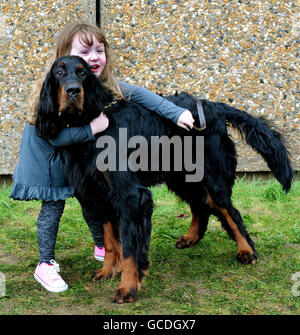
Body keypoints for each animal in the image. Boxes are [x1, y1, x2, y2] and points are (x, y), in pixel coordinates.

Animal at [34, 57, 292, 304]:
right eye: (59, 72)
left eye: (83, 73)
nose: (73, 91)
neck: (90, 126)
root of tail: (212, 106)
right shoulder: (100, 194)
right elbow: (109, 241)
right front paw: (107, 271)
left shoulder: (131, 197)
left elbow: (129, 250)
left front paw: (128, 289)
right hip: (182, 177)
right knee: (201, 205)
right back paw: (191, 238)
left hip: (212, 177)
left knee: (229, 211)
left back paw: (247, 251)